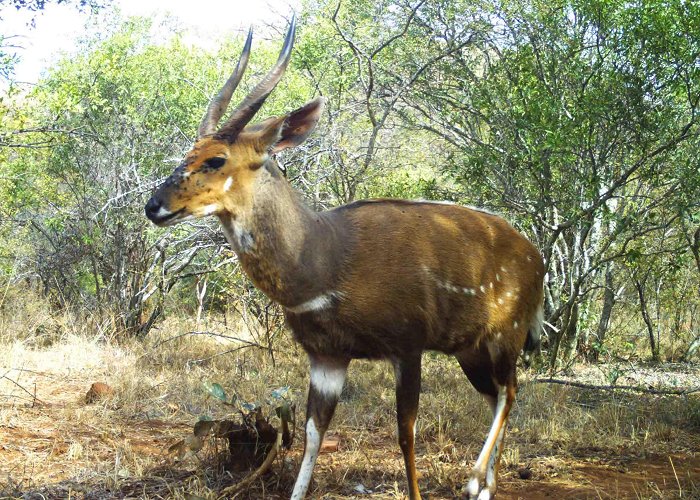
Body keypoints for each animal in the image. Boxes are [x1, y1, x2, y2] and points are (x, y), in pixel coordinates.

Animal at [145, 16, 544, 500]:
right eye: (189, 152)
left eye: (215, 159)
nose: (153, 206)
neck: (324, 260)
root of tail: (537, 257)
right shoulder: (327, 357)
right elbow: (313, 432)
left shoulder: (407, 345)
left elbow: (405, 432)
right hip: (470, 349)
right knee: (496, 396)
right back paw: (486, 486)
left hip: (505, 336)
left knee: (511, 391)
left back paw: (473, 480)